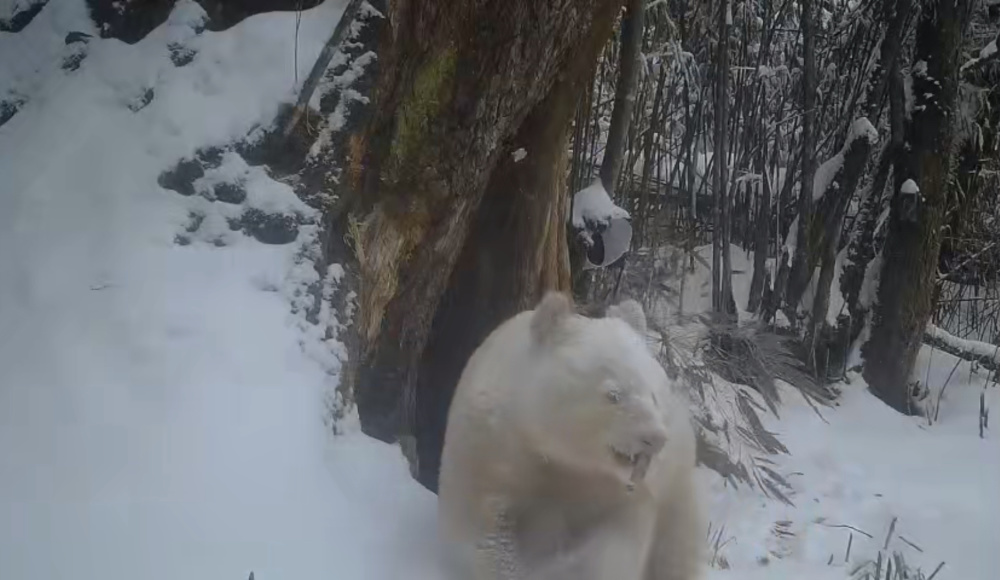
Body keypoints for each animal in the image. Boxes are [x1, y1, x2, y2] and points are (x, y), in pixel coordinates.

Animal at [438, 292, 704, 580]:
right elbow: (488, 525)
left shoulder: (624, 492)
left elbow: (617, 544)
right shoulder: (494, 449)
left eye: (654, 395)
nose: (654, 438)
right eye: (613, 394)